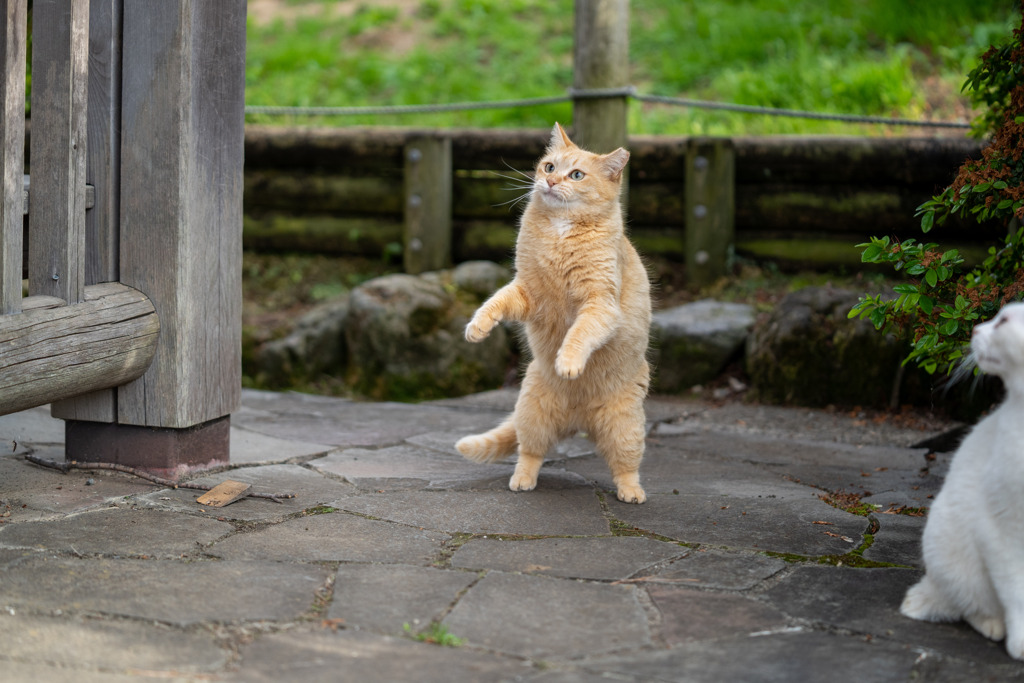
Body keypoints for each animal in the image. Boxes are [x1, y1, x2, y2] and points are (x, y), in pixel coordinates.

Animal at [454, 122, 647, 505]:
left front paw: (568, 363)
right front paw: (477, 328)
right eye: (549, 167)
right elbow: (493, 303)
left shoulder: (599, 304)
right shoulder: (527, 292)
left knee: (625, 467)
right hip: (533, 412)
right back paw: (521, 480)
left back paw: (632, 492)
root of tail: (580, 423)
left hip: (626, 428)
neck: (561, 231)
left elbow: (579, 333)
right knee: (530, 452)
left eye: (577, 174)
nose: (552, 182)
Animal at [901, 301, 1024, 659]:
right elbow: (1017, 593)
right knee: (971, 608)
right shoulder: (1002, 529)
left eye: (1003, 321)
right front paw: (1020, 645)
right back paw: (994, 627)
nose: (975, 329)